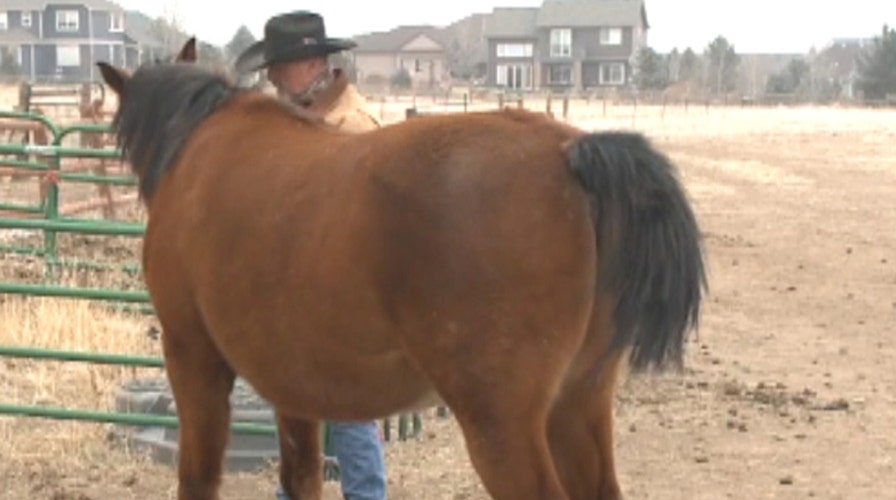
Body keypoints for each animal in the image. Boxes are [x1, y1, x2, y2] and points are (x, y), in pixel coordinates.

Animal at [96, 51, 706, 500]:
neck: (196, 147)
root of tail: (569, 151)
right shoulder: (292, 384)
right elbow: (302, 478)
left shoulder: (192, 357)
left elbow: (198, 478)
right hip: (579, 401)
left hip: (503, 423)